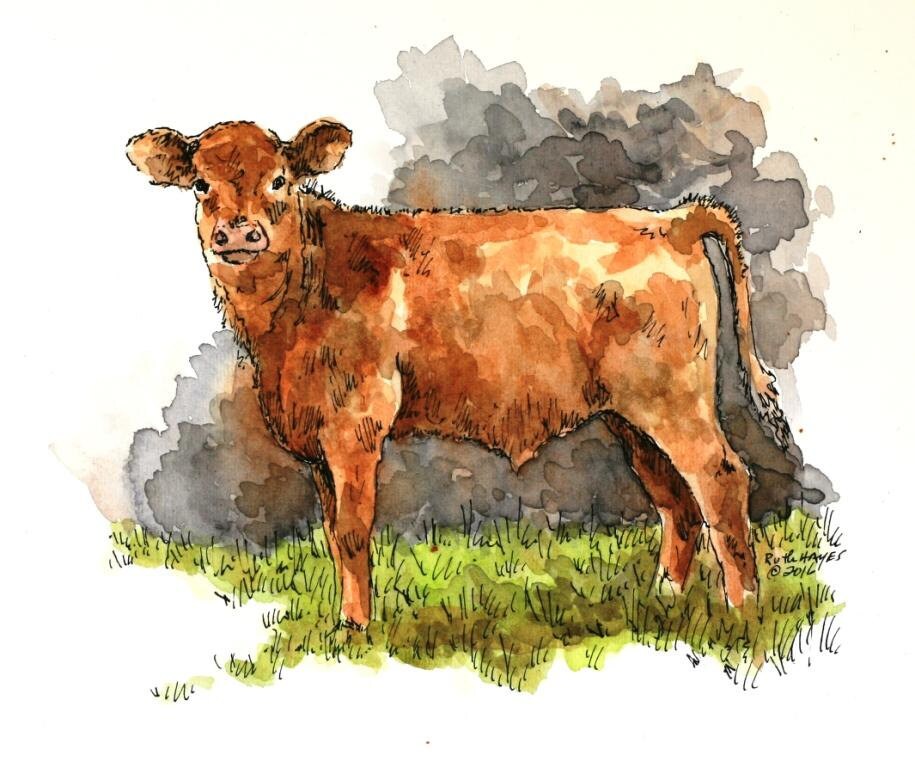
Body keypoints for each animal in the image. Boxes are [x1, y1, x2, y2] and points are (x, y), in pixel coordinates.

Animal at [126, 118, 787, 628]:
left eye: (280, 180)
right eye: (202, 185)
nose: (238, 232)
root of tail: (668, 221)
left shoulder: (355, 426)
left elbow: (352, 532)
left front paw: (356, 630)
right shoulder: (315, 436)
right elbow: (332, 533)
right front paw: (348, 622)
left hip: (673, 401)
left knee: (720, 481)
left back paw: (744, 610)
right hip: (632, 416)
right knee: (676, 501)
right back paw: (665, 600)